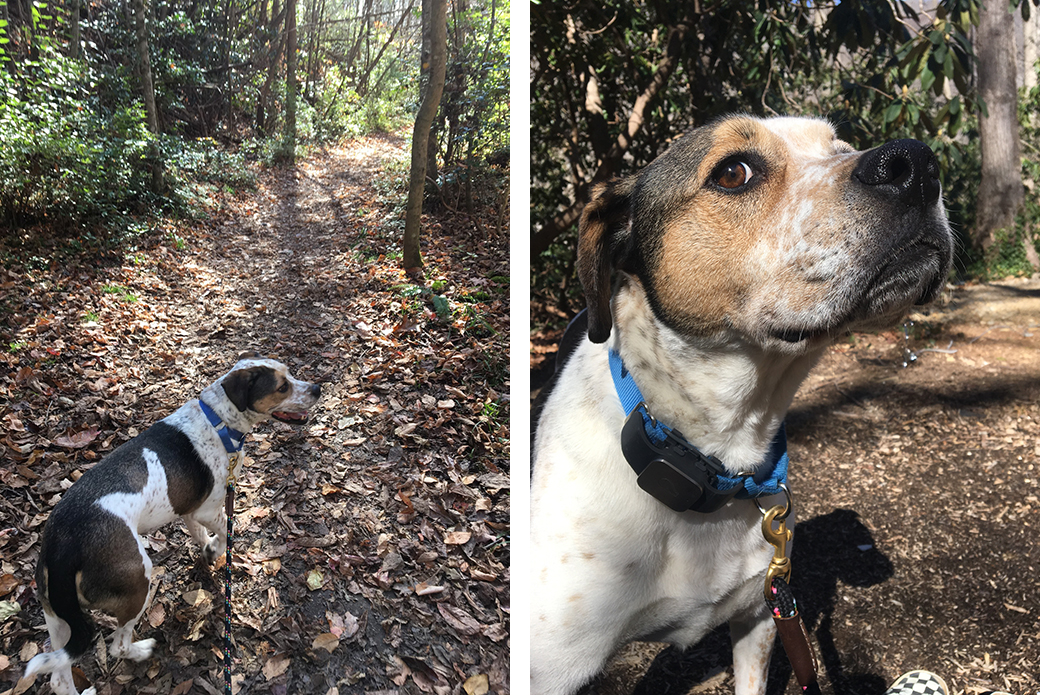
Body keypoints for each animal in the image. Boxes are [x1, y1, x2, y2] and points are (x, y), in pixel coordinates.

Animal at [532, 115, 952, 695]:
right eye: (733, 172)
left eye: (840, 147)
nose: (916, 163)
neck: (710, 458)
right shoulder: (551, 667)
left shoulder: (764, 614)